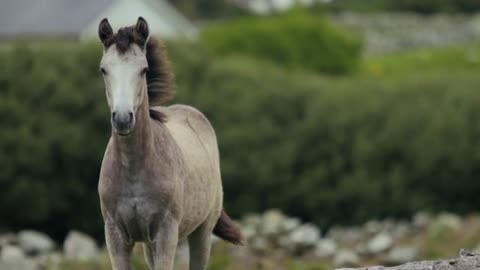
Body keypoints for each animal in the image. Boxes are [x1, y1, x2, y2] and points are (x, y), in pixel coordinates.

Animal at [96, 17, 244, 270]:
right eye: (104, 69)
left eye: (144, 69)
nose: (123, 119)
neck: (134, 170)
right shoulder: (115, 235)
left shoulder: (166, 234)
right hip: (148, 244)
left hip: (201, 232)